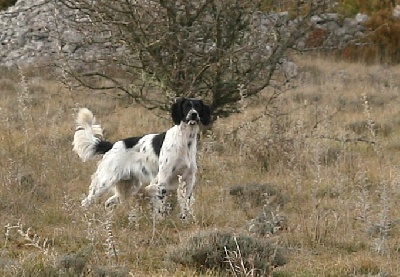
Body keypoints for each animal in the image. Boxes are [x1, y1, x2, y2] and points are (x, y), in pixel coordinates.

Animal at [72, 97, 212, 218]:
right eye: (187, 106)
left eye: (197, 107)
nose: (194, 114)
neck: (184, 141)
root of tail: (112, 145)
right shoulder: (161, 181)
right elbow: (159, 203)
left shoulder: (188, 180)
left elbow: (185, 205)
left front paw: (184, 219)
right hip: (104, 183)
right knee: (86, 202)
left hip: (129, 187)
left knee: (108, 202)